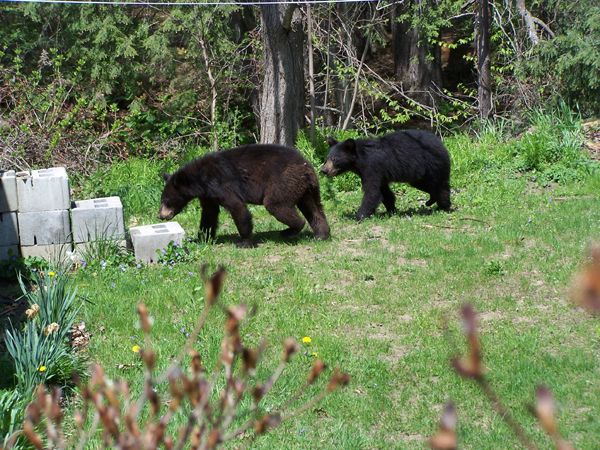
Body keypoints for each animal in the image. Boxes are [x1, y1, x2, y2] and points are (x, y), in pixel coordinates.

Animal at [157, 145, 330, 246]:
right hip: (307, 188)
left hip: (284, 181)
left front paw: (244, 241)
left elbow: (237, 206)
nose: (160, 215)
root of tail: (306, 167)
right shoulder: (208, 194)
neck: (200, 179)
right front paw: (201, 238)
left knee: (276, 205)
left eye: (165, 200)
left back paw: (291, 230)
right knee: (314, 208)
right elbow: (209, 213)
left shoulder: (220, 184)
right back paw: (321, 234)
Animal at [318, 128, 450, 220]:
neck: (359, 161)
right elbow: (384, 192)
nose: (323, 170)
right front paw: (391, 209)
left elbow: (372, 192)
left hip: (429, 167)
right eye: (327, 158)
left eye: (335, 159)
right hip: (419, 175)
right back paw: (431, 201)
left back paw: (444, 206)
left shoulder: (372, 167)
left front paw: (359, 215)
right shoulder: (378, 173)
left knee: (439, 186)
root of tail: (441, 144)